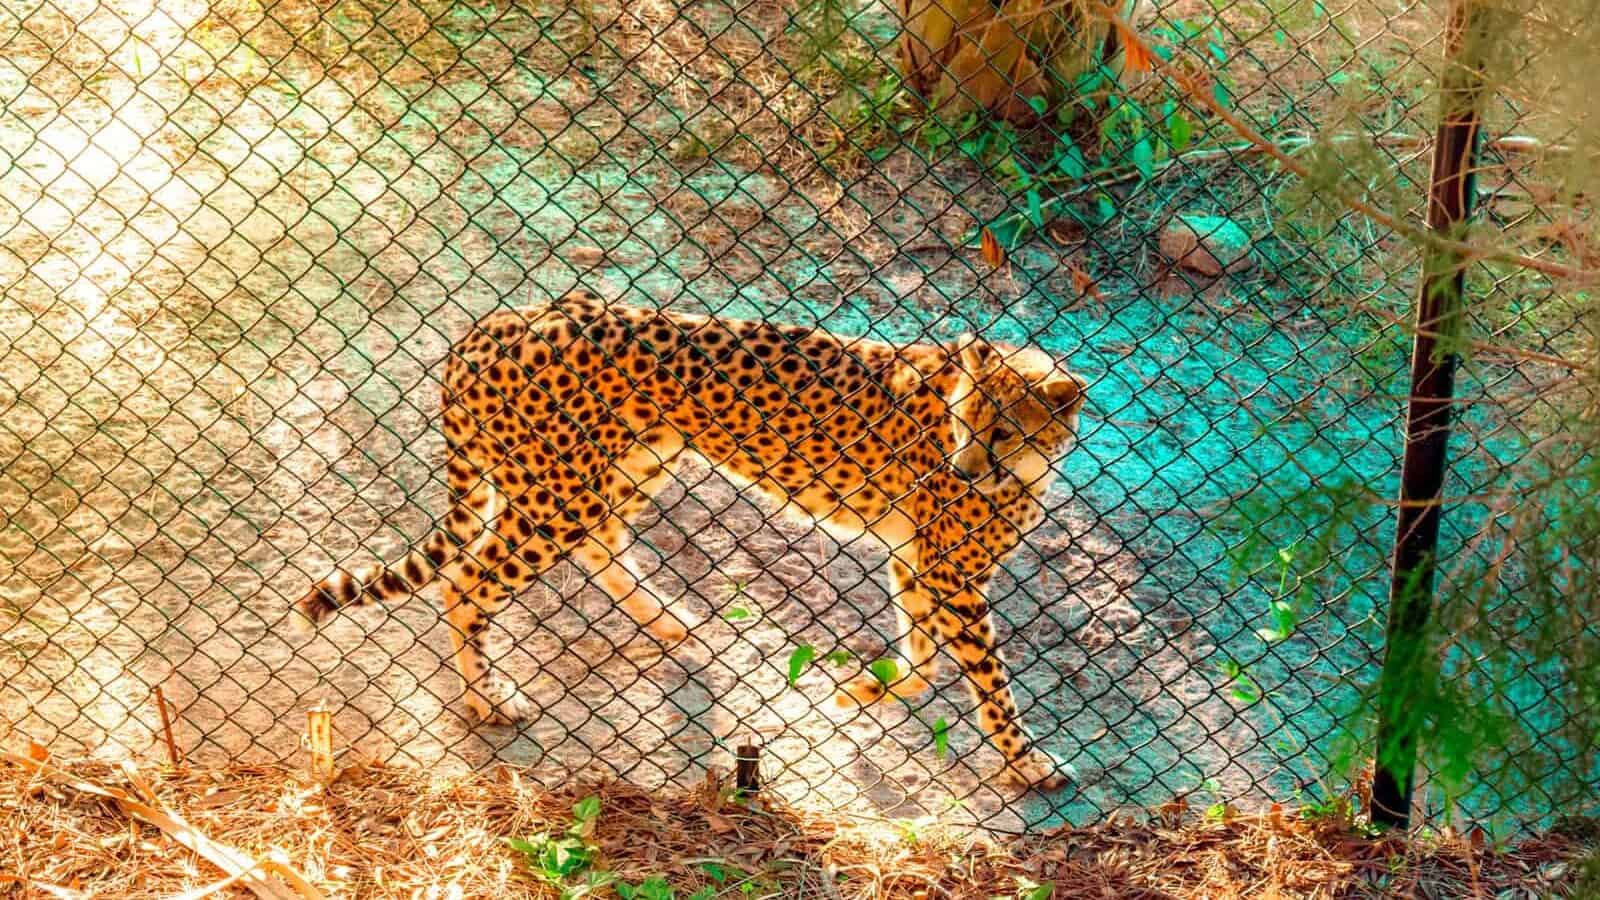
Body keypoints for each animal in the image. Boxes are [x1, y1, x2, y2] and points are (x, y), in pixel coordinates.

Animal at [293, 289, 1088, 789]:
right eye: (962, 423)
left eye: (1001, 430)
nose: (962, 467)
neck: (1031, 464)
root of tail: (510, 317)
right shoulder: (950, 572)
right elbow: (990, 680)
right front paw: (1028, 764)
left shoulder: (917, 561)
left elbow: (921, 653)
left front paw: (867, 690)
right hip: (558, 496)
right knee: (467, 583)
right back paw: (488, 698)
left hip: (625, 467)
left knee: (600, 545)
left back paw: (671, 621)